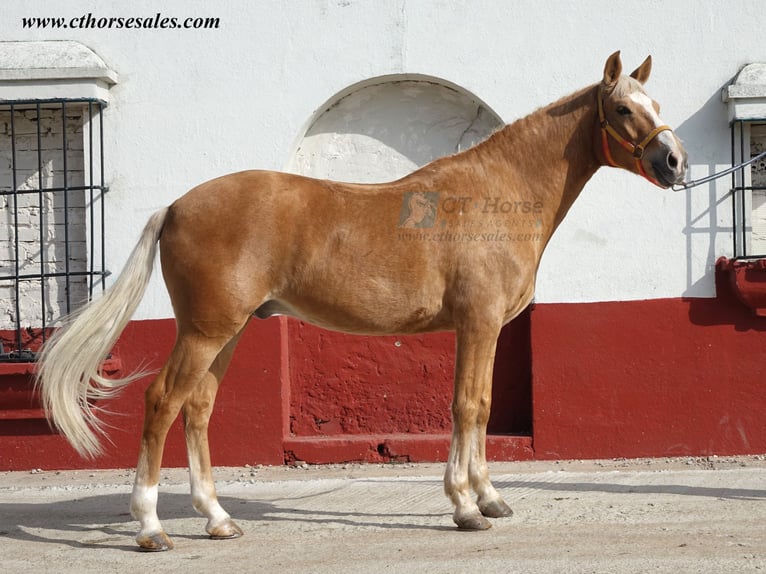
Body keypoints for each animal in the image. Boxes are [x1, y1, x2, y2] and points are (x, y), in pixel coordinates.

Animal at [36, 51, 688, 552]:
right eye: (624, 109)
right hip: (204, 331)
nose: (674, 161)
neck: (495, 194)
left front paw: (490, 498)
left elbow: (479, 407)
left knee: (197, 408)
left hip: (229, 330)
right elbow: (467, 406)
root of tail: (174, 206)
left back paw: (218, 519)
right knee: (163, 402)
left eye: (658, 105)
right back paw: (149, 527)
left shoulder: (489, 330)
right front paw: (465, 506)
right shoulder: (476, 325)